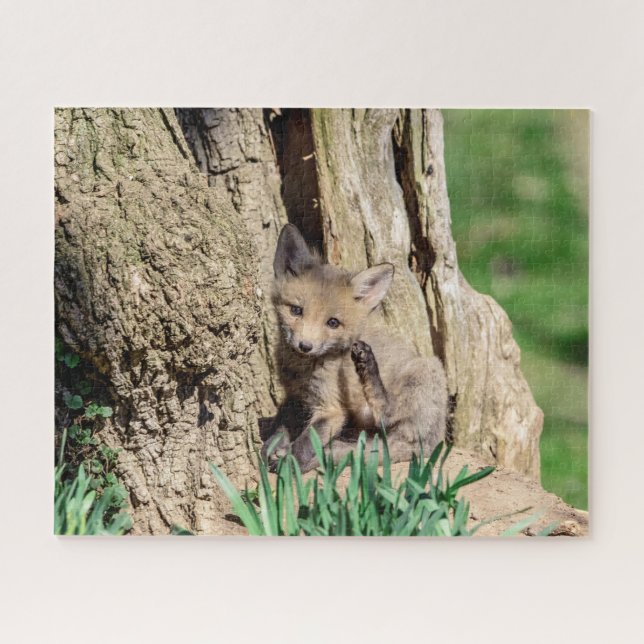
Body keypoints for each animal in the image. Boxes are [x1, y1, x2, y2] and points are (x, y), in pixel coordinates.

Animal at [262, 223, 448, 473]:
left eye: (332, 322)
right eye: (296, 311)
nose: (305, 346)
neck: (303, 370)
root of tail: (431, 443)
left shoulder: (331, 409)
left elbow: (306, 442)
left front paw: (290, 463)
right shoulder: (296, 396)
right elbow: (282, 423)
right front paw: (272, 446)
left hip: (426, 371)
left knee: (387, 414)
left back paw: (367, 365)